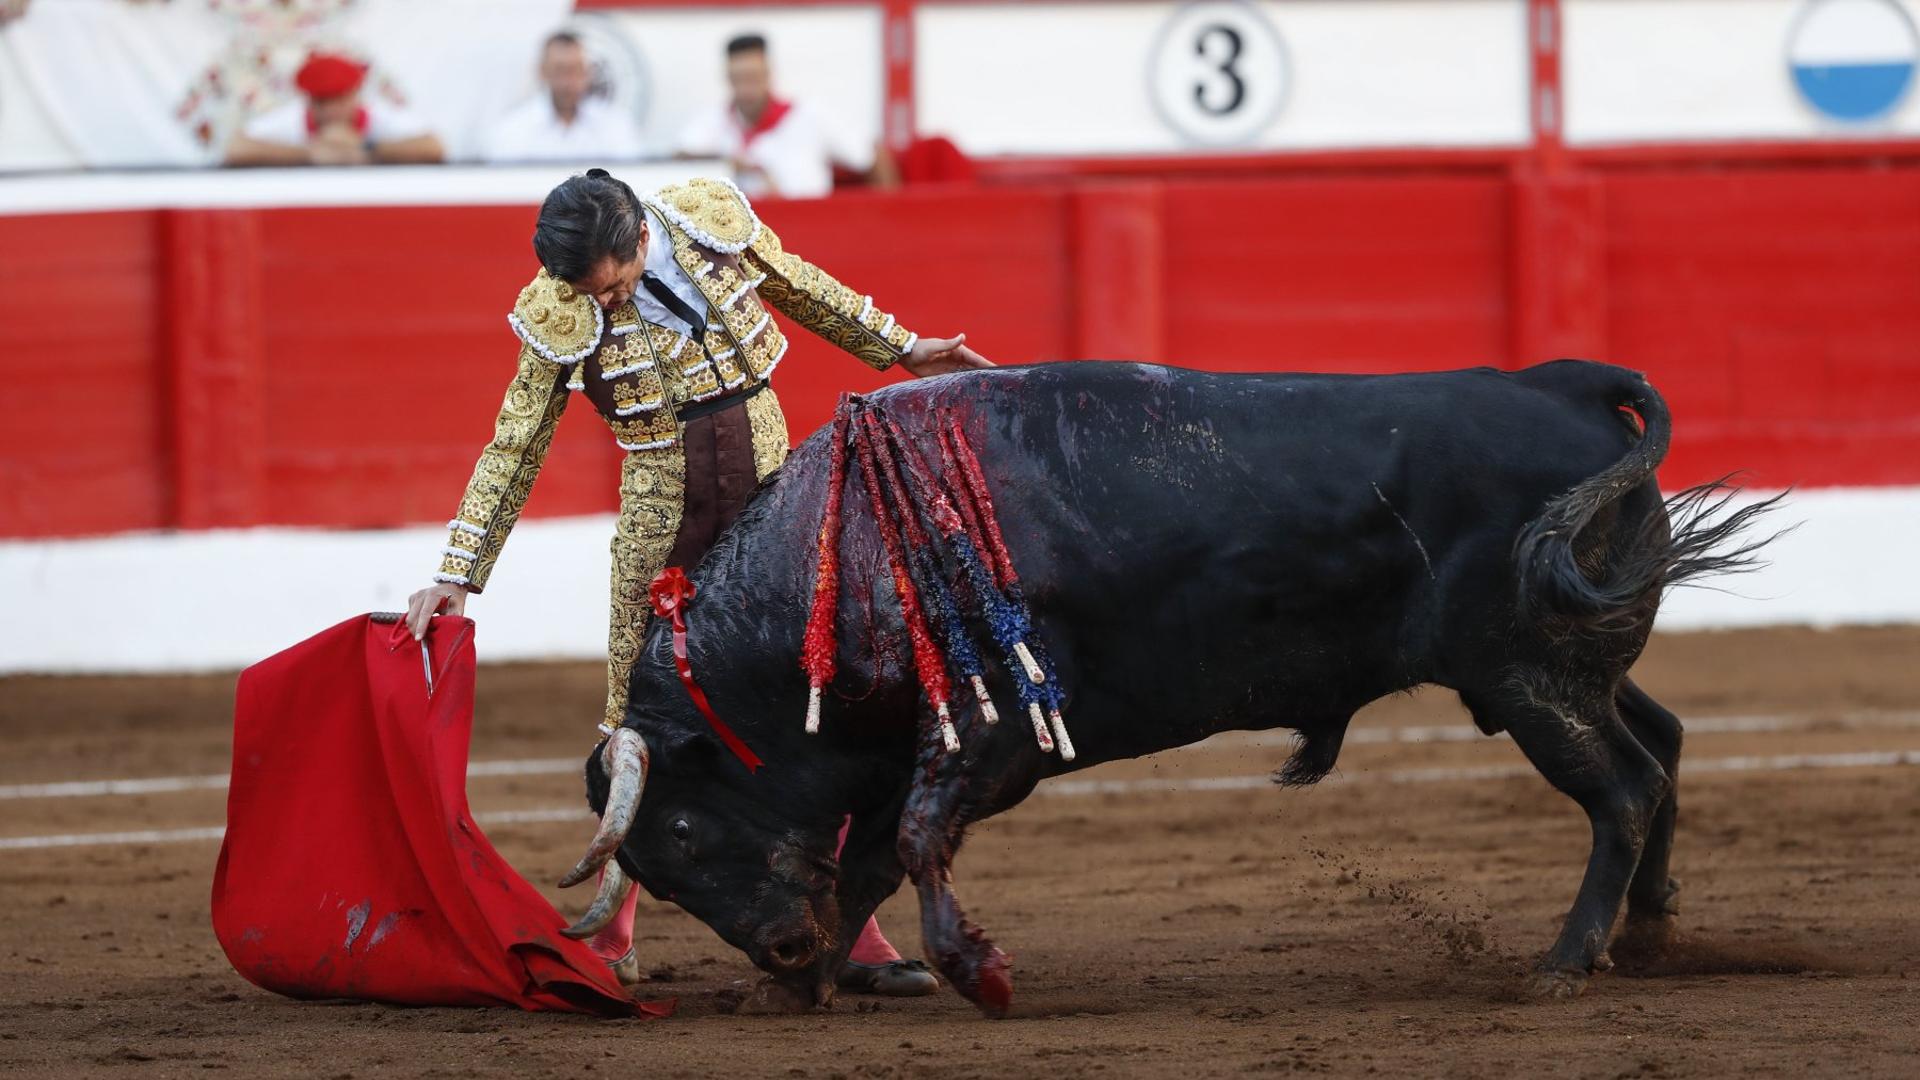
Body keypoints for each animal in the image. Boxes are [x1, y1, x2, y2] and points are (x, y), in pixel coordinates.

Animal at [576, 359, 1774, 1006]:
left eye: (678, 832)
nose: (777, 943)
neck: (848, 550)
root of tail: (1561, 385)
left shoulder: (993, 744)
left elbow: (907, 844)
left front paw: (974, 973)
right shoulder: (924, 750)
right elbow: (869, 858)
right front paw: (798, 981)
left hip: (1528, 680)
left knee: (1623, 789)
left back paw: (1566, 962)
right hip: (1563, 670)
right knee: (1664, 746)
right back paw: (1648, 936)